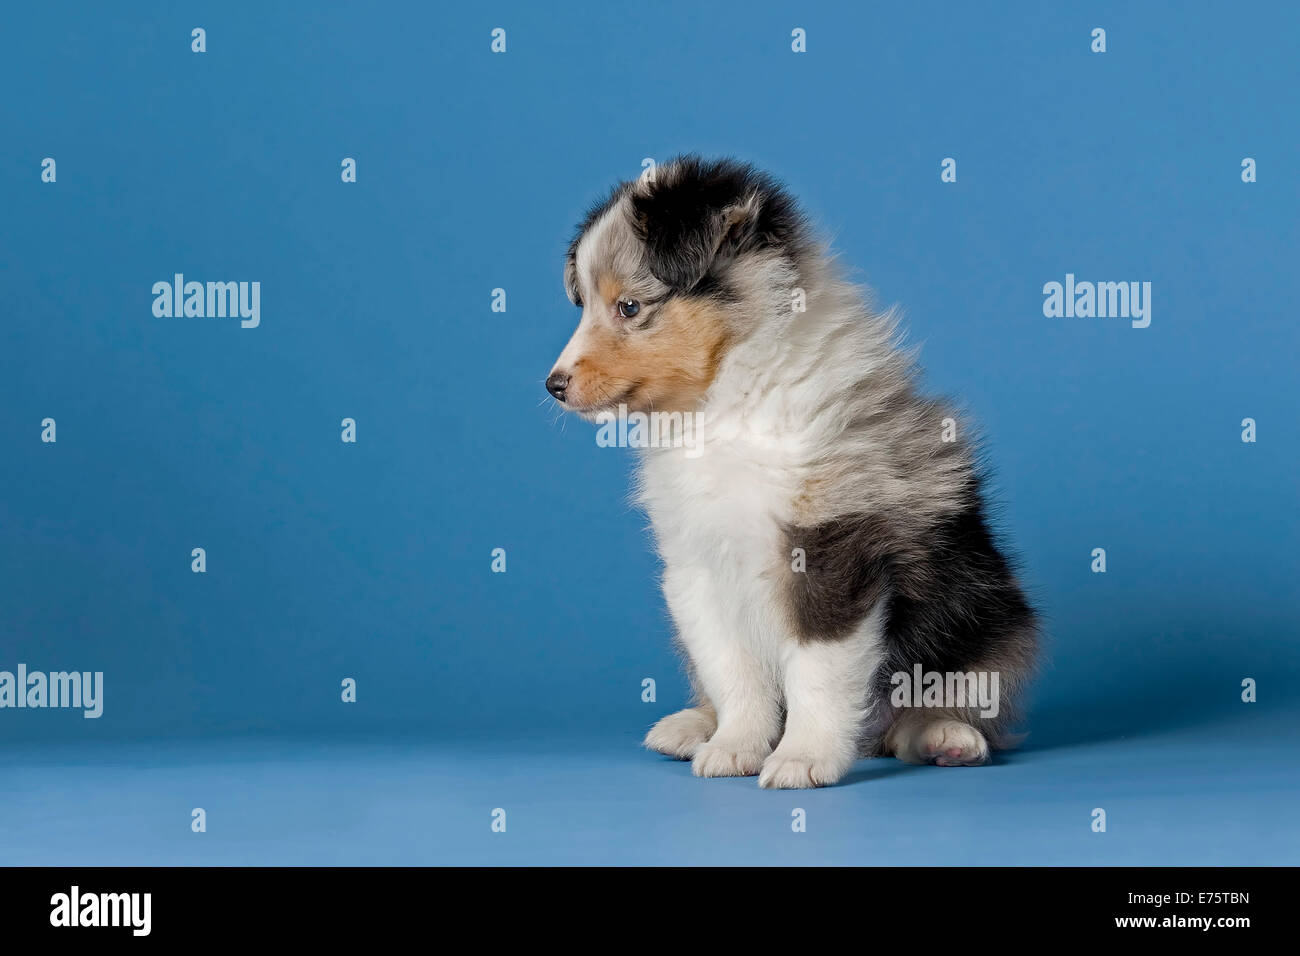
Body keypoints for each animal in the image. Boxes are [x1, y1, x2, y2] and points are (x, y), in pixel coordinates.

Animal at [546, 155, 1034, 785]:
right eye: (584, 304)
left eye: (629, 307)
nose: (553, 386)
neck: (725, 405)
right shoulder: (696, 565)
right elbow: (732, 669)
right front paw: (736, 747)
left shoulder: (829, 545)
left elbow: (817, 670)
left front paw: (804, 757)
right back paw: (690, 727)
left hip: (990, 616)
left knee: (934, 705)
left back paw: (945, 735)